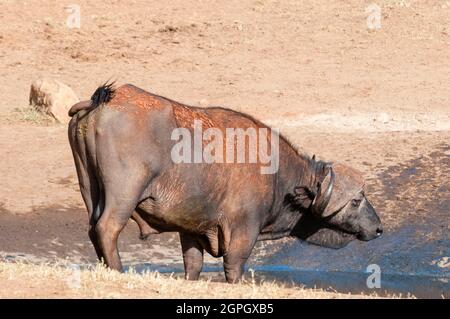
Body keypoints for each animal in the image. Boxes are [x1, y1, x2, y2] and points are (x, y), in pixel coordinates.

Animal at [68, 84, 382, 284]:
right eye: (356, 200)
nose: (378, 228)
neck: (278, 176)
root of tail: (104, 100)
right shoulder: (244, 230)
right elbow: (234, 266)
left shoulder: (190, 230)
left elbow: (193, 266)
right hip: (124, 195)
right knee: (107, 229)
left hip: (89, 191)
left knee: (93, 230)